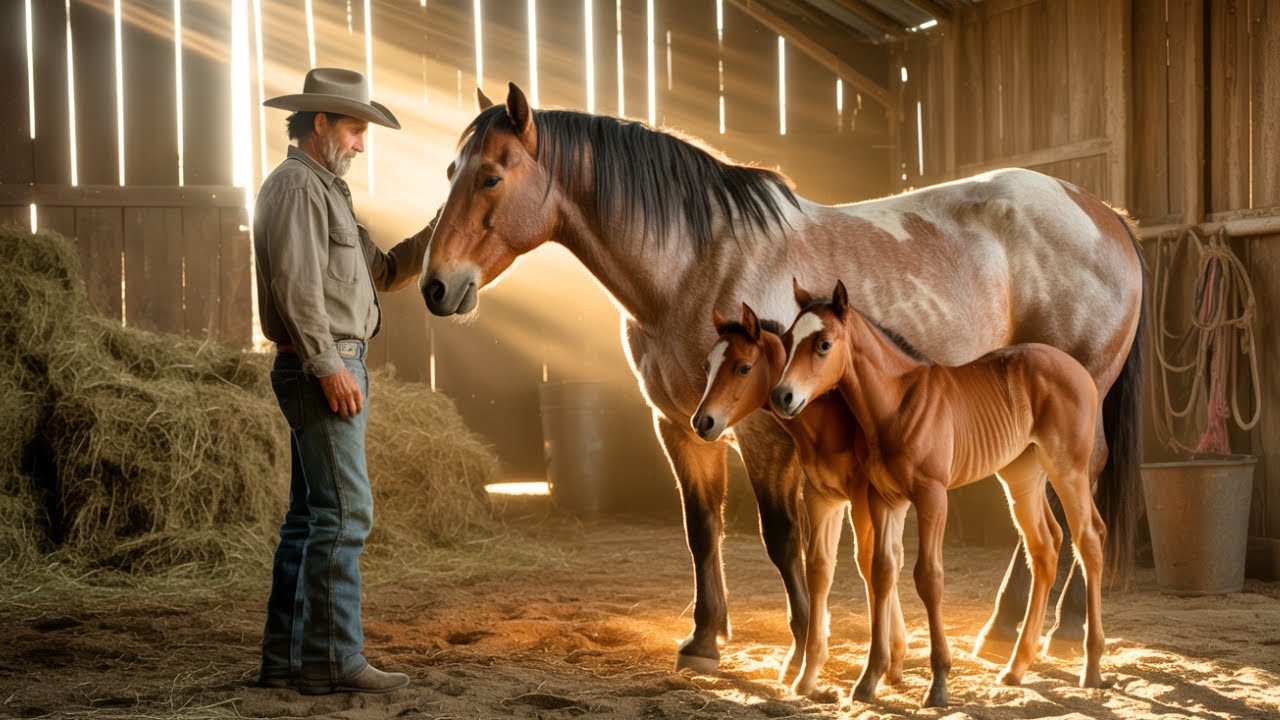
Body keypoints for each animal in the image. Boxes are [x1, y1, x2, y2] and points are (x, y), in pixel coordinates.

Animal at [690, 303, 907, 696]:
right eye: (706, 366)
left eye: (743, 367)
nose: (703, 422)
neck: (834, 419)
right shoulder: (827, 496)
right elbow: (832, 564)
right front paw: (891, 660)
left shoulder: (864, 497)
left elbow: (871, 563)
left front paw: (879, 666)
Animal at [772, 279, 1108, 707]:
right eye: (788, 340)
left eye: (824, 344)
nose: (782, 397)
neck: (895, 405)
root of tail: (1078, 369)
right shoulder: (883, 498)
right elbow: (882, 571)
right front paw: (869, 679)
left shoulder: (932, 496)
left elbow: (928, 577)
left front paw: (938, 684)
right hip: (1022, 476)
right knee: (1046, 545)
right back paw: (1015, 668)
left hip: (1068, 468)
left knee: (1088, 538)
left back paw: (1092, 667)